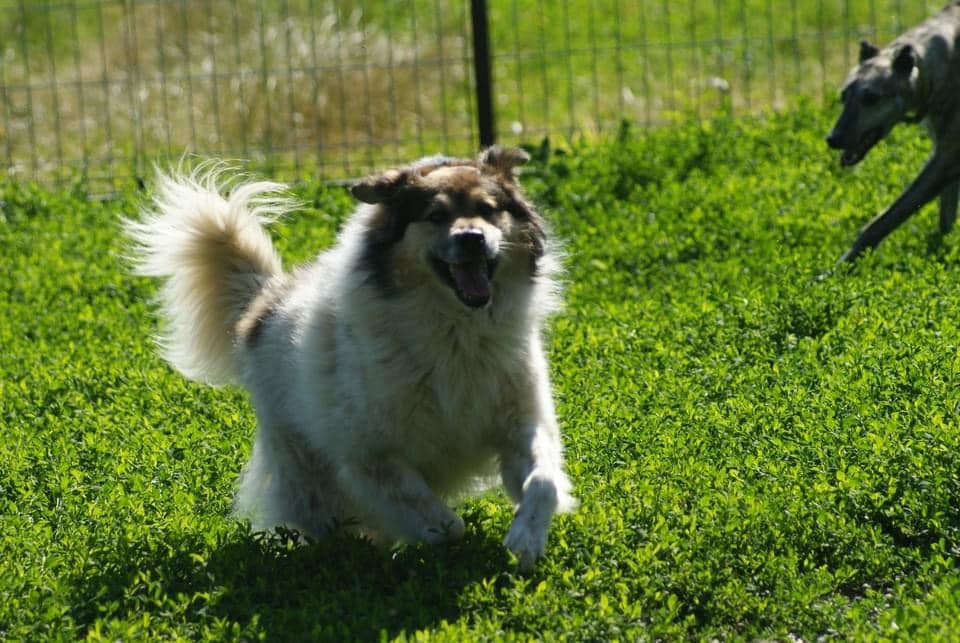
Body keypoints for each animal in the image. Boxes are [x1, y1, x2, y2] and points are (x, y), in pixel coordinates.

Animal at [124, 148, 575, 570]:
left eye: (487, 209)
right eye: (435, 215)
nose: (471, 239)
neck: (457, 330)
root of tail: (263, 302)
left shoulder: (521, 422)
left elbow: (544, 481)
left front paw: (525, 541)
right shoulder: (369, 456)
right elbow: (445, 524)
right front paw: (433, 542)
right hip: (304, 468)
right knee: (325, 517)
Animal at [827, 0, 960, 263]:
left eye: (871, 98)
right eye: (843, 96)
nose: (832, 139)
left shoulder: (945, 160)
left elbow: (880, 222)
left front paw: (840, 266)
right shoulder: (945, 153)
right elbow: (945, 220)